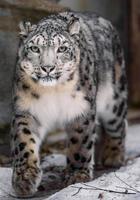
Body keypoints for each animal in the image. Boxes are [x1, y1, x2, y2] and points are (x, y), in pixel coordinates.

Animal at [10, 11, 127, 197]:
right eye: (35, 48)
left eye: (62, 48)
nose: (47, 67)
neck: (53, 91)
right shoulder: (27, 110)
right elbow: (25, 141)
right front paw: (25, 179)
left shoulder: (81, 108)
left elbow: (80, 141)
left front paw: (76, 175)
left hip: (114, 99)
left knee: (118, 125)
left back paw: (113, 156)